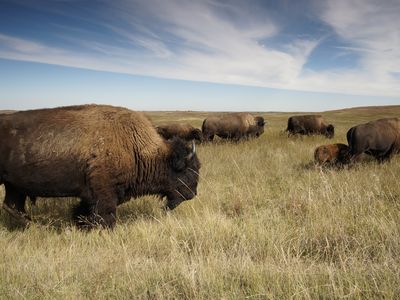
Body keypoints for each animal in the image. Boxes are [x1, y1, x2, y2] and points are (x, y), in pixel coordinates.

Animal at [0, 104, 200, 229]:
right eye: (189, 171)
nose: (193, 194)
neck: (134, 146)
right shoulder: (104, 192)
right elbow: (105, 214)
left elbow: (84, 211)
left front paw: (80, 224)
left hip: (15, 186)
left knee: (12, 206)